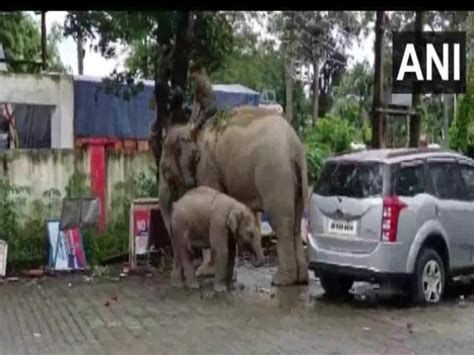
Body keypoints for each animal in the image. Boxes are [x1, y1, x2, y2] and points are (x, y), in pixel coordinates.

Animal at [157, 106, 310, 286]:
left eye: (165, 169)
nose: (173, 276)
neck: (195, 130)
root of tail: (294, 144)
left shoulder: (207, 169)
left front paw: (205, 272)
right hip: (296, 178)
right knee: (296, 223)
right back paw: (300, 279)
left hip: (275, 172)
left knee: (281, 222)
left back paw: (281, 280)